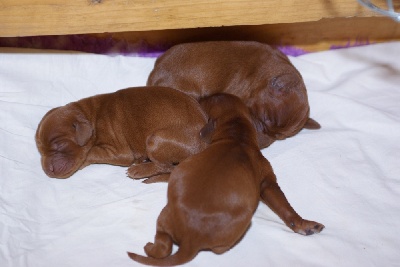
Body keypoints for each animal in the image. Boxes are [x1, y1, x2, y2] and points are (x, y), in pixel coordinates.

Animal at [34, 87, 206, 181]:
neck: (91, 116)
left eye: (60, 146)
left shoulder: (120, 152)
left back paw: (139, 170)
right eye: (40, 150)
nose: (47, 171)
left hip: (155, 140)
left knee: (167, 166)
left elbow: (91, 152)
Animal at [128, 93, 324, 266]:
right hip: (240, 225)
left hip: (163, 218)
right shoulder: (268, 181)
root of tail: (191, 238)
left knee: (162, 244)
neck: (237, 137)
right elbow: (285, 206)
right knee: (217, 249)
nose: (196, 98)